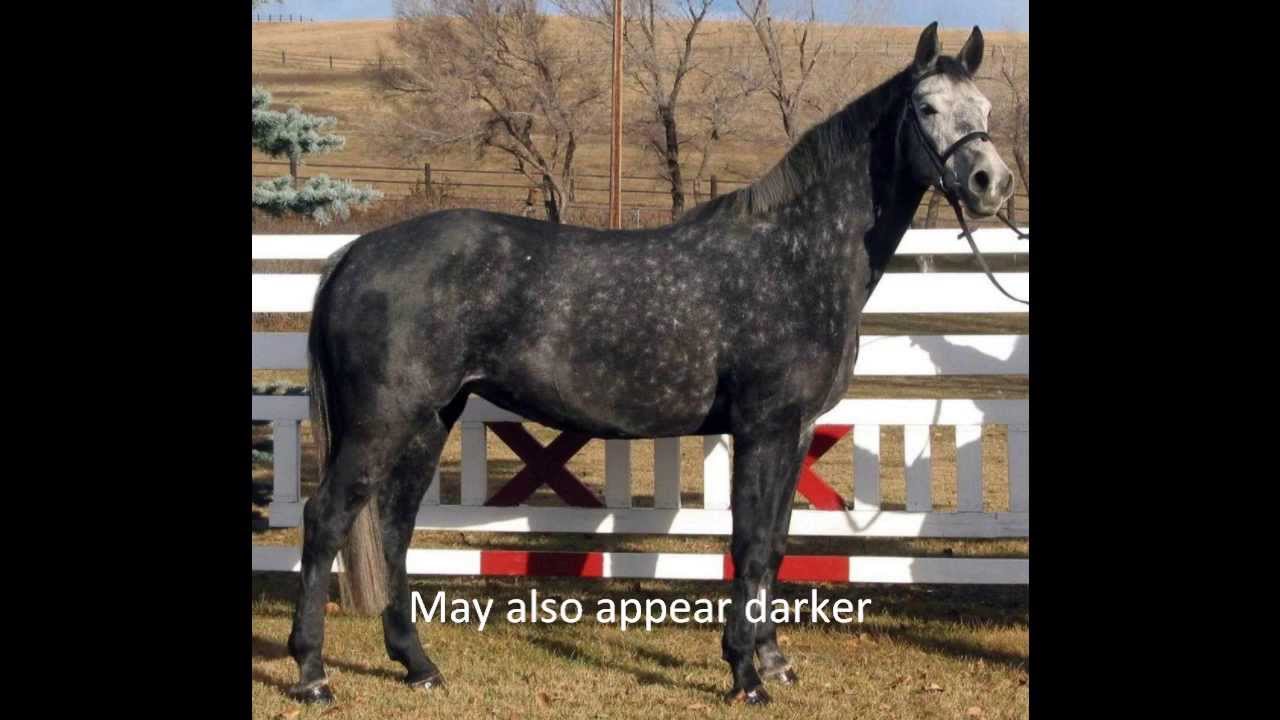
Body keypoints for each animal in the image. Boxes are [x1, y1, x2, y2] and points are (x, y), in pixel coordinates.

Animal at [284, 21, 1016, 706]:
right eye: (925, 106)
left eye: (984, 106)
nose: (991, 183)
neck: (795, 254)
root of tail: (354, 253)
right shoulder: (765, 427)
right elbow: (748, 544)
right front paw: (745, 675)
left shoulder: (797, 430)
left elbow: (776, 544)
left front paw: (773, 659)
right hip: (383, 423)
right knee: (327, 517)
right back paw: (313, 673)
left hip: (432, 418)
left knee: (394, 526)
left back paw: (418, 665)